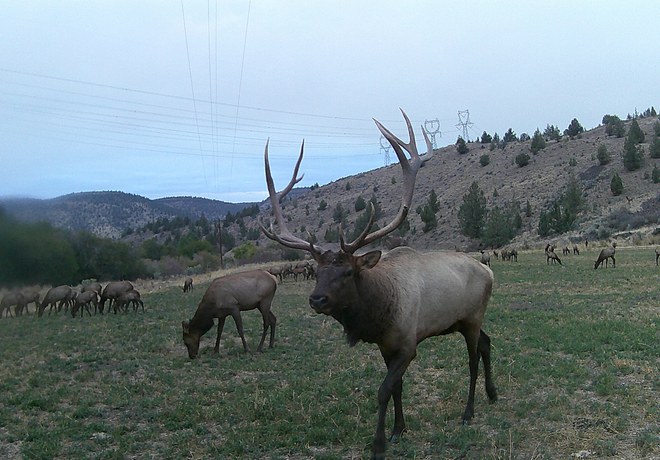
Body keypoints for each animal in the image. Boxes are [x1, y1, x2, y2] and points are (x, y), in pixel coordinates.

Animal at [260, 109, 498, 458]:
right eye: (316, 272)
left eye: (348, 272)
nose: (317, 300)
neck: (378, 315)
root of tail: (489, 271)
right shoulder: (387, 346)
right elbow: (397, 387)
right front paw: (399, 429)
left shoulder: (408, 344)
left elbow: (384, 390)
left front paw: (379, 442)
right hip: (465, 320)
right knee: (487, 342)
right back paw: (492, 394)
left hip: (472, 317)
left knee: (472, 358)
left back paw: (468, 412)